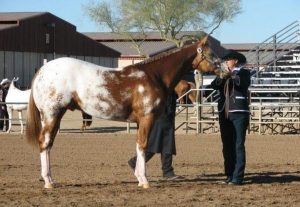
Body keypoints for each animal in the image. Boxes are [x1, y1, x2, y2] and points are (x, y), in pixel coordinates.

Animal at [25, 36, 220, 189]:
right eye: (211, 53)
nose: (223, 69)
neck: (154, 76)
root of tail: (42, 71)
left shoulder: (140, 121)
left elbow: (140, 145)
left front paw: (140, 178)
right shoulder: (147, 118)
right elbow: (143, 145)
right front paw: (144, 180)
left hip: (54, 116)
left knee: (48, 144)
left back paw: (49, 179)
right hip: (51, 114)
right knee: (45, 143)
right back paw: (48, 181)